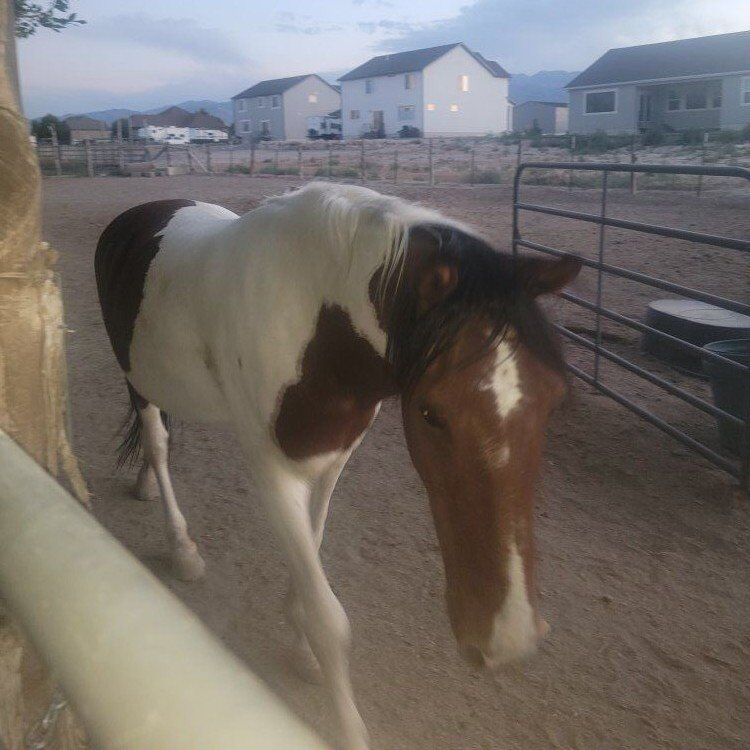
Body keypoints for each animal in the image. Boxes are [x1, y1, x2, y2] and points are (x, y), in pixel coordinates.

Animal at [94, 182, 581, 749]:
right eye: (430, 411)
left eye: (554, 399)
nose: (508, 638)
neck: (316, 327)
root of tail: (138, 215)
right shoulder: (273, 474)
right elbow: (331, 619)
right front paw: (345, 716)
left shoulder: (332, 459)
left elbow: (314, 546)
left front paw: (299, 639)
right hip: (136, 378)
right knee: (157, 442)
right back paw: (181, 546)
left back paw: (145, 486)